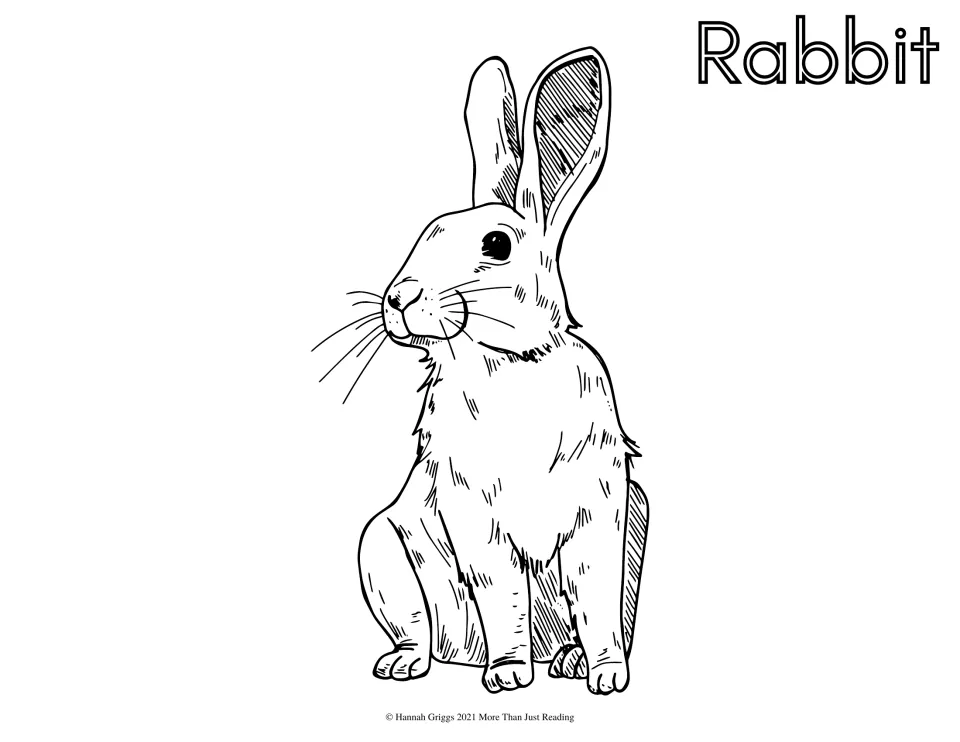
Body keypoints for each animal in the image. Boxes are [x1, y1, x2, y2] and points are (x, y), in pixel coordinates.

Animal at [357, 47, 648, 695]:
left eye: (496, 244)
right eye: (426, 233)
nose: (398, 297)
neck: (510, 361)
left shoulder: (601, 515)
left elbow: (597, 598)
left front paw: (608, 676)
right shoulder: (477, 523)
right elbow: (503, 597)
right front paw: (510, 674)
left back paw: (568, 663)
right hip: (381, 552)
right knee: (418, 629)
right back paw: (409, 664)